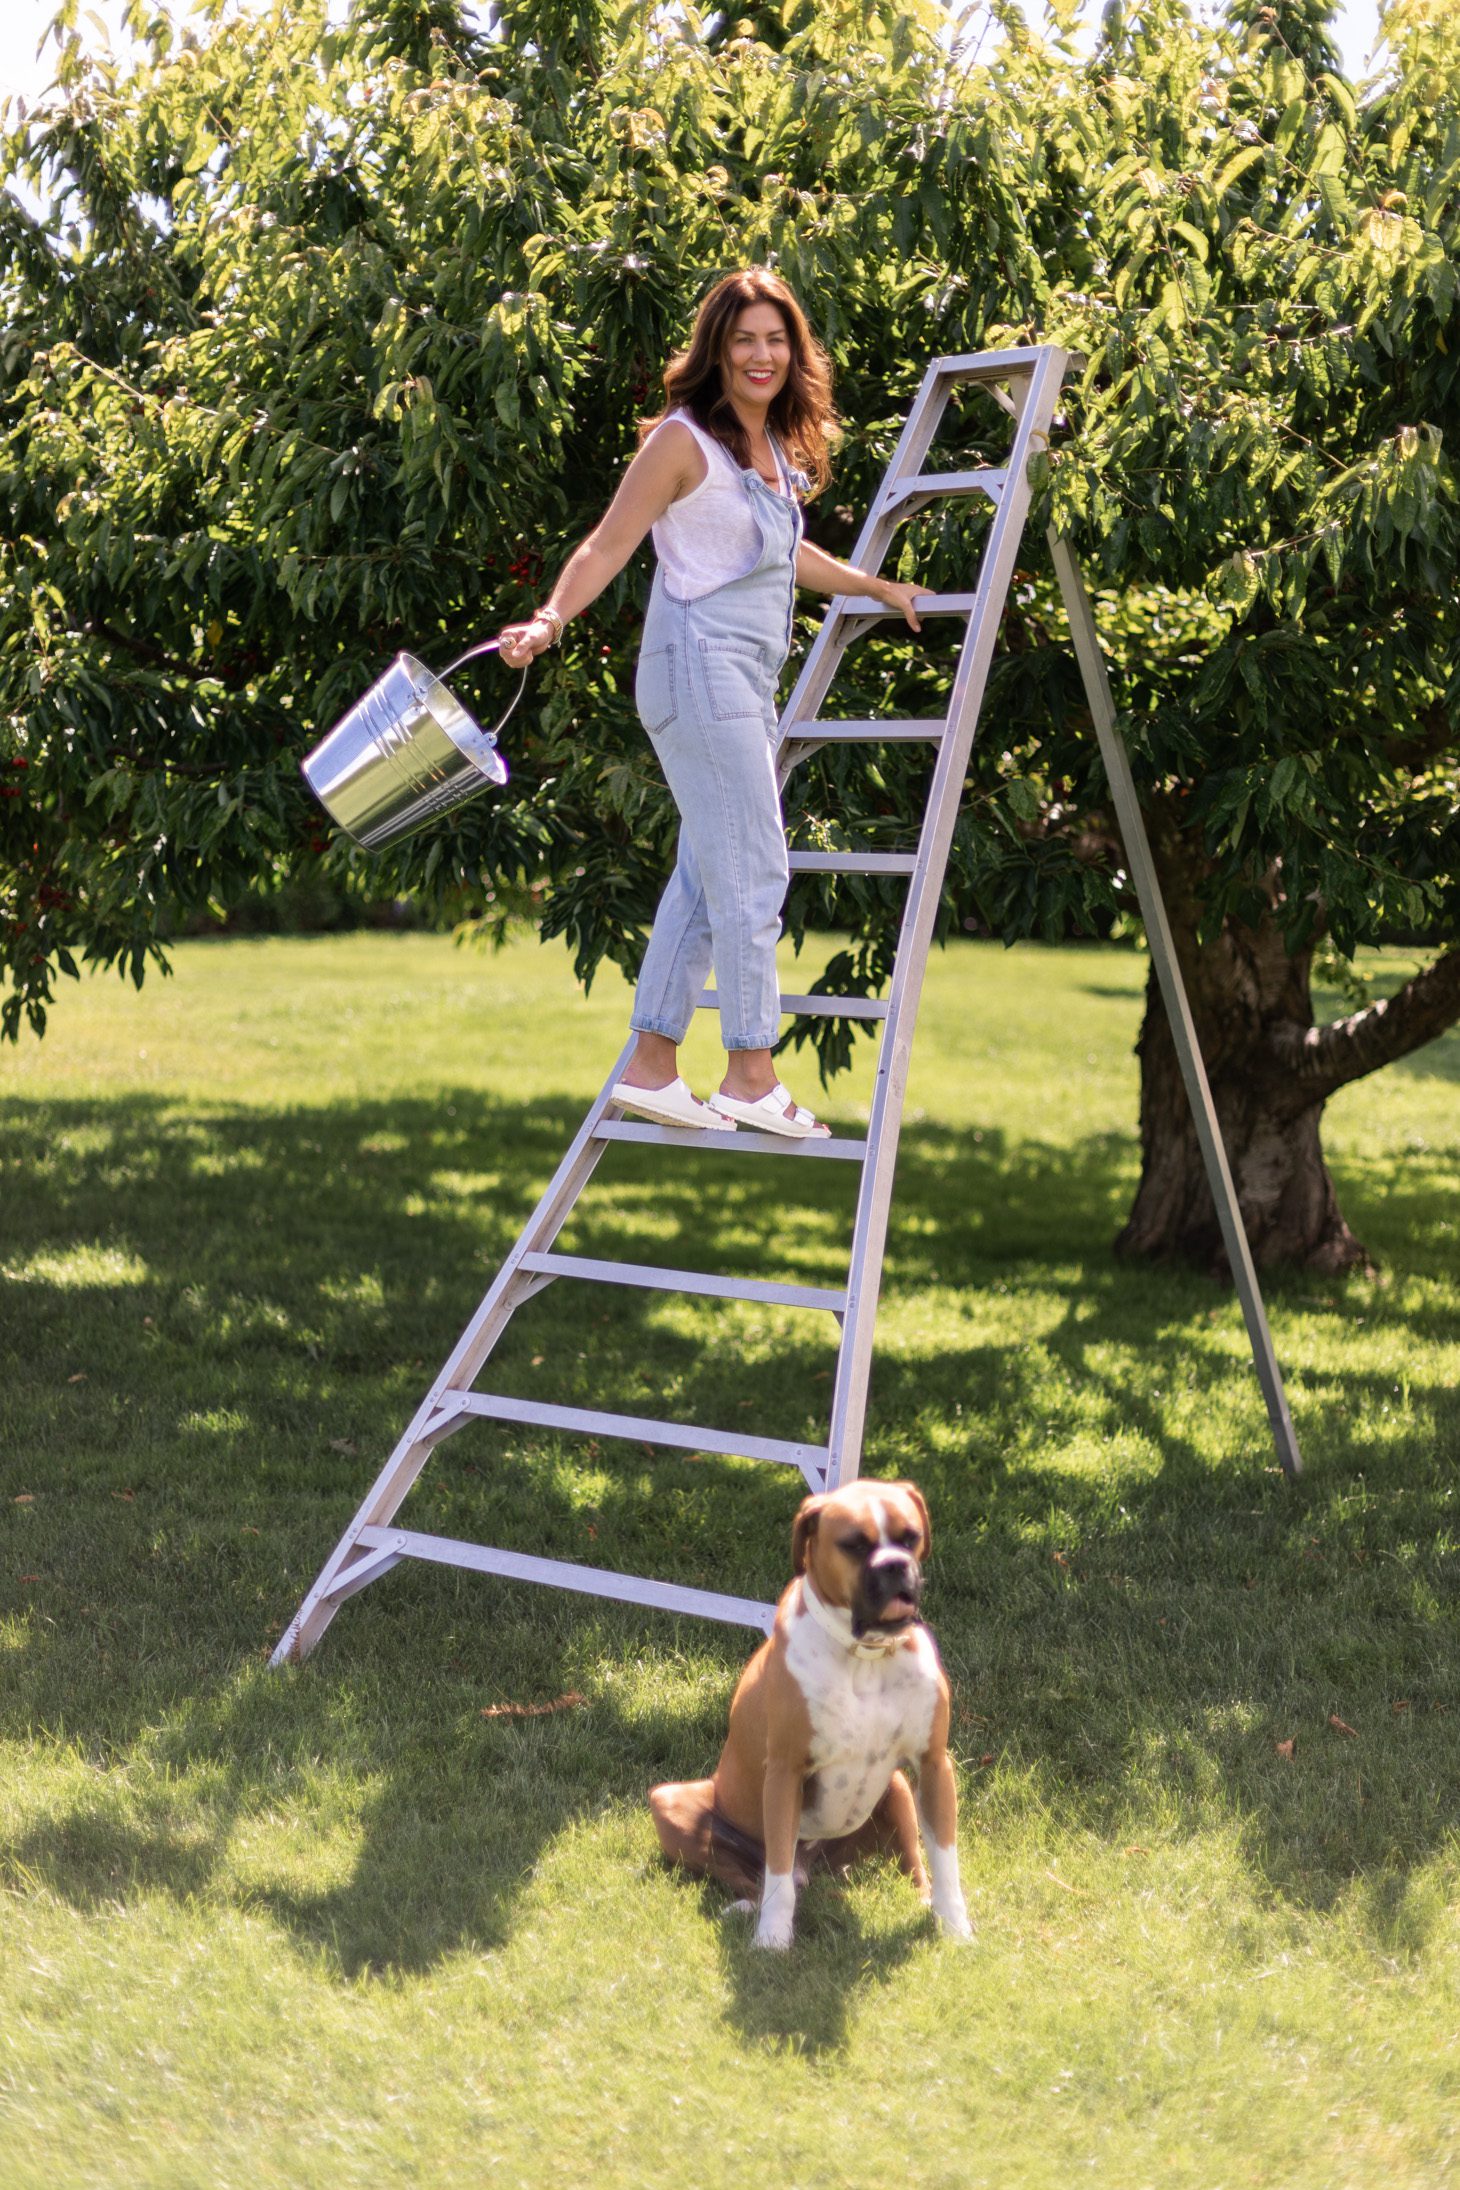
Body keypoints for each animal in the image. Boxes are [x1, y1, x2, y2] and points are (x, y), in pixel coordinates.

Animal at [647, 1480, 971, 1944]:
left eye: (909, 1537)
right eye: (854, 1544)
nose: (895, 1565)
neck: (866, 1656)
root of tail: (816, 1868)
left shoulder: (933, 1765)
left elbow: (945, 1860)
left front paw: (957, 1930)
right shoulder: (785, 1774)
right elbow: (778, 1873)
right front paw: (772, 1939)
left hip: (898, 1789)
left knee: (913, 1861)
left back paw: (922, 1900)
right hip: (669, 1802)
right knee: (756, 1878)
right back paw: (748, 1908)